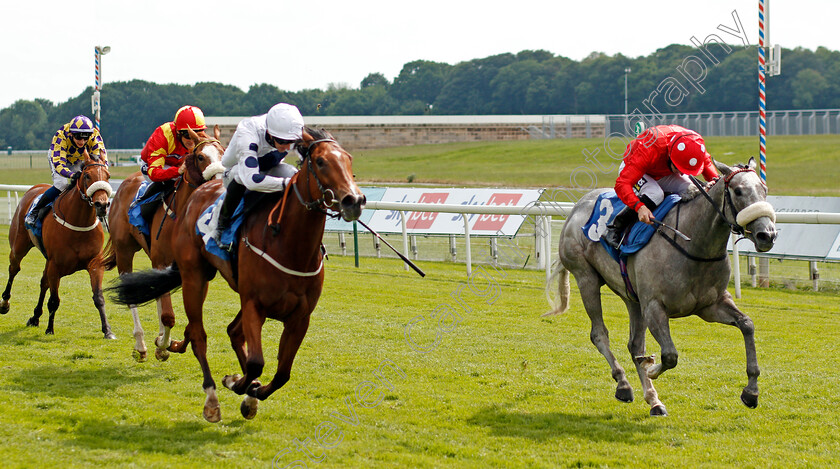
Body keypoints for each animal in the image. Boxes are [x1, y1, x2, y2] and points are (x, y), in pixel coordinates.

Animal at [0, 152, 115, 338]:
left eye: (108, 176)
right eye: (87, 175)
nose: (102, 204)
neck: (79, 223)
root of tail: (35, 188)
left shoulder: (95, 264)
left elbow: (98, 297)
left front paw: (107, 330)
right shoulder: (56, 265)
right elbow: (54, 300)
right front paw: (50, 329)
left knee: (43, 282)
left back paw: (35, 317)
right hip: (18, 246)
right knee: (14, 269)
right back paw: (5, 303)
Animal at [102, 125, 226, 362]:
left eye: (223, 152)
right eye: (200, 156)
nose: (219, 181)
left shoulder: (195, 269)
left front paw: (167, 343)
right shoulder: (161, 261)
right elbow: (169, 315)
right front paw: (162, 343)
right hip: (124, 251)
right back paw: (141, 345)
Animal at [548, 159, 776, 414]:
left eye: (764, 190)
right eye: (738, 191)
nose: (767, 234)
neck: (694, 243)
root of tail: (577, 206)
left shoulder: (711, 305)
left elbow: (747, 324)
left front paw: (751, 391)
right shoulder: (654, 307)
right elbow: (669, 355)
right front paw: (651, 368)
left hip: (631, 295)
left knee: (635, 344)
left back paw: (653, 400)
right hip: (586, 277)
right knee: (599, 334)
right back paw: (624, 384)